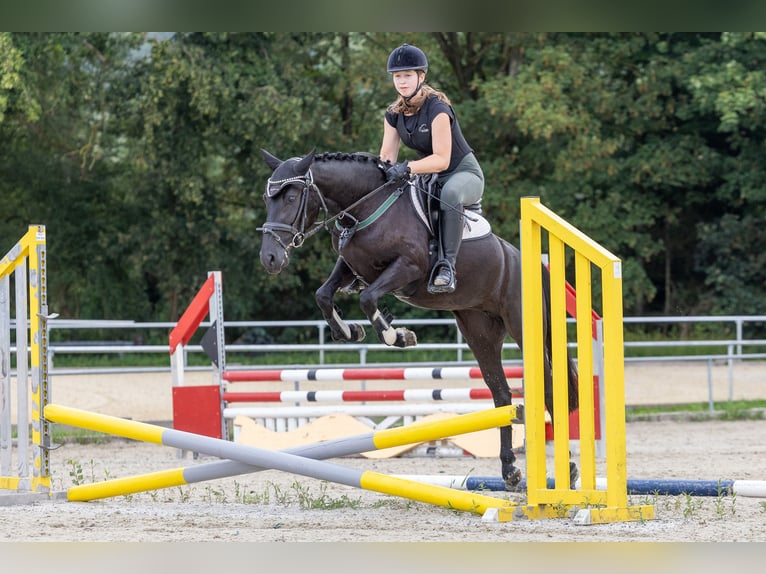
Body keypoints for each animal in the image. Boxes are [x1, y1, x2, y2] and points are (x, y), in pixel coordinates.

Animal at [260, 150, 580, 490]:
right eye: (268, 198)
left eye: (292, 196)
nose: (270, 259)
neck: (366, 207)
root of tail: (520, 257)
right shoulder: (351, 265)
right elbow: (323, 295)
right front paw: (350, 331)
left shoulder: (407, 268)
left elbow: (367, 298)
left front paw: (398, 336)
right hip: (479, 332)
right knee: (502, 394)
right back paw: (510, 470)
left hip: (522, 327)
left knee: (548, 388)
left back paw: (569, 468)